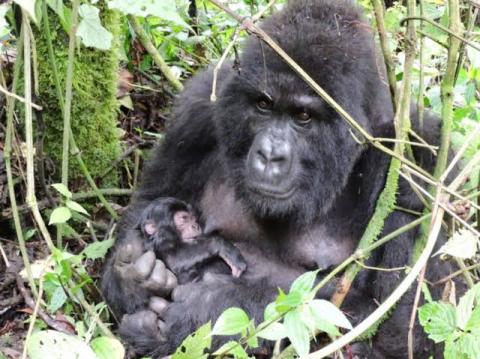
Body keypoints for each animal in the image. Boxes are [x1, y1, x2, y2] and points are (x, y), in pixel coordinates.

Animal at [103, 0, 452, 358]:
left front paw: (209, 306)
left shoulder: (419, 159)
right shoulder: (198, 107)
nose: (270, 155)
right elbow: (151, 202)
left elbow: (403, 328)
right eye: (263, 105)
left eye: (303, 116)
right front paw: (131, 273)